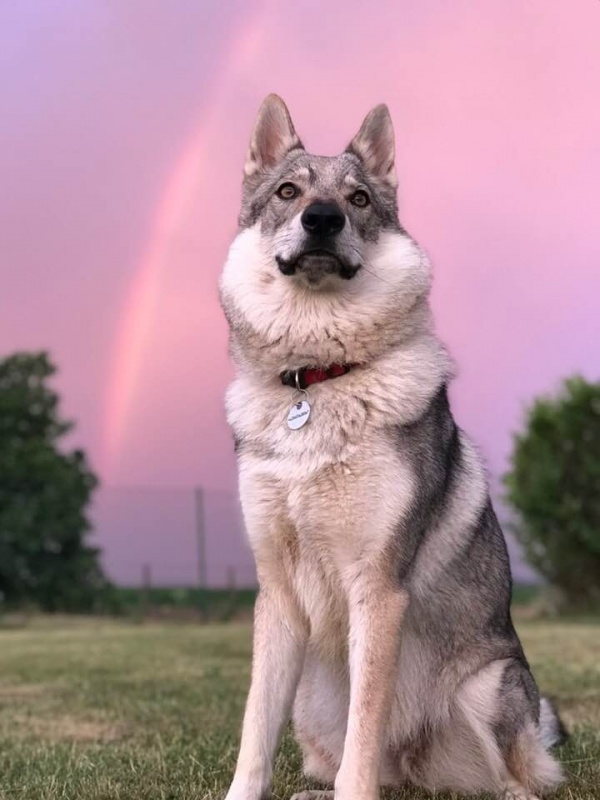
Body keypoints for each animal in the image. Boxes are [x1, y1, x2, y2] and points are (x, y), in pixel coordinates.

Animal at [218, 95, 564, 800]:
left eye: (357, 199)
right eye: (289, 192)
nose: (322, 219)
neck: (318, 380)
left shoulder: (376, 588)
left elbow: (364, 733)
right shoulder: (277, 596)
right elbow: (254, 730)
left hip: (490, 687)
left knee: (519, 777)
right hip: (312, 697)